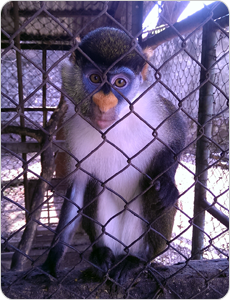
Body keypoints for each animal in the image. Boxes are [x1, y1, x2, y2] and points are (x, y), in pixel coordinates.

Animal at [41, 27, 187, 282]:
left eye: (120, 82)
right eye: (95, 79)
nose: (104, 101)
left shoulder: (154, 109)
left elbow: (178, 136)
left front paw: (167, 180)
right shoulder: (72, 125)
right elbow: (78, 187)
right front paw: (50, 263)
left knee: (156, 192)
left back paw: (139, 260)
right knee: (94, 184)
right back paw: (102, 254)